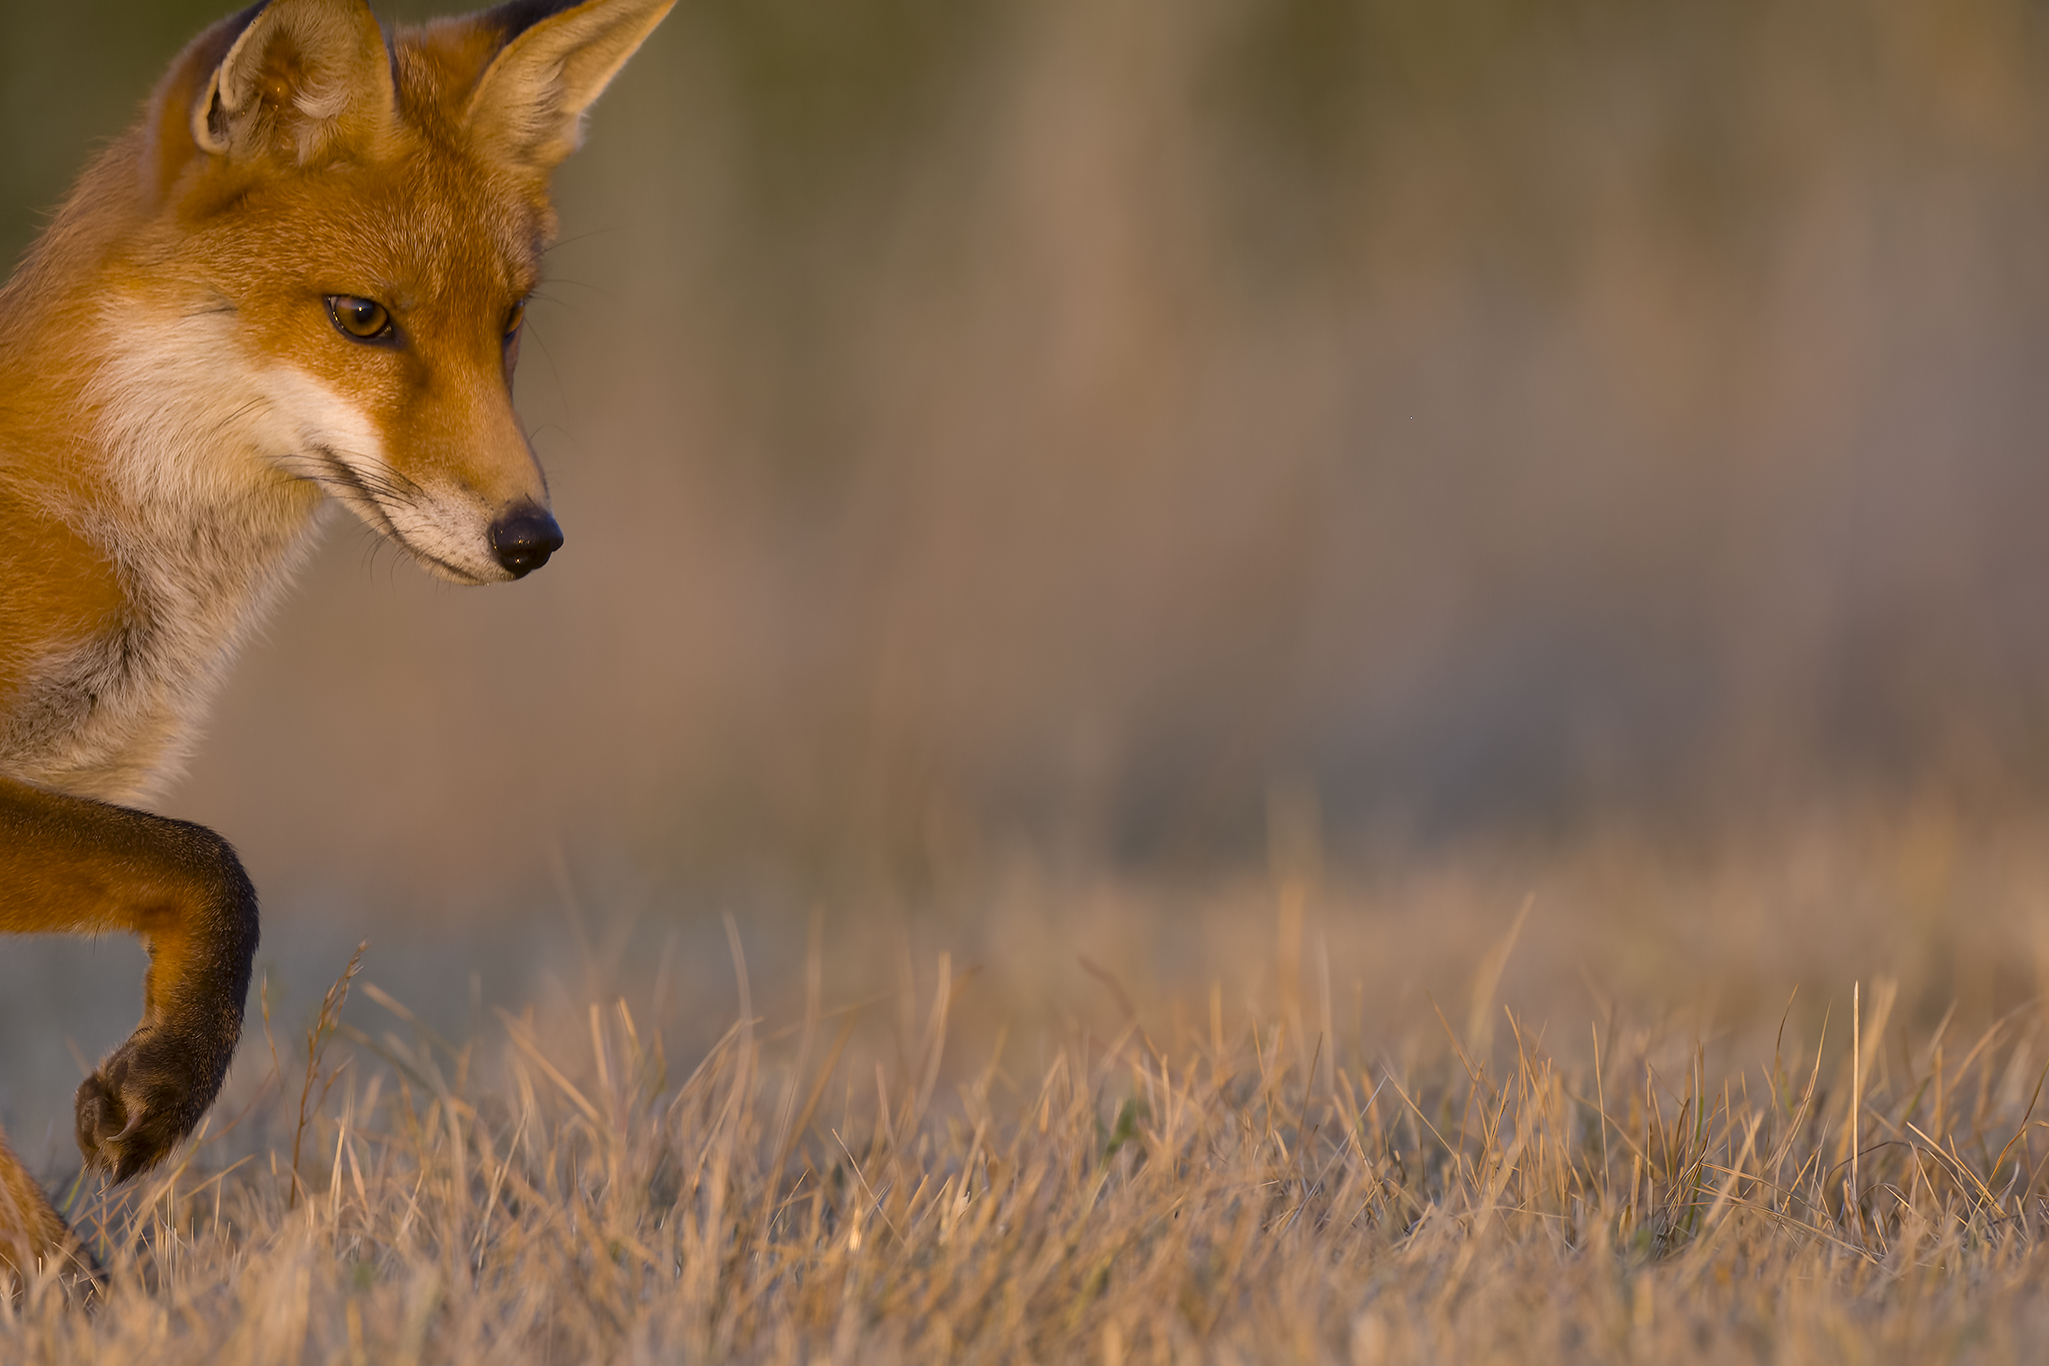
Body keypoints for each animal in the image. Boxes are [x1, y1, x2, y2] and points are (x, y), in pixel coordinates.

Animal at [0, 0, 673, 1276]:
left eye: (509, 324)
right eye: (363, 318)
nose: (532, 536)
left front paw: (72, 1282)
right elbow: (213, 863)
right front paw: (147, 1124)